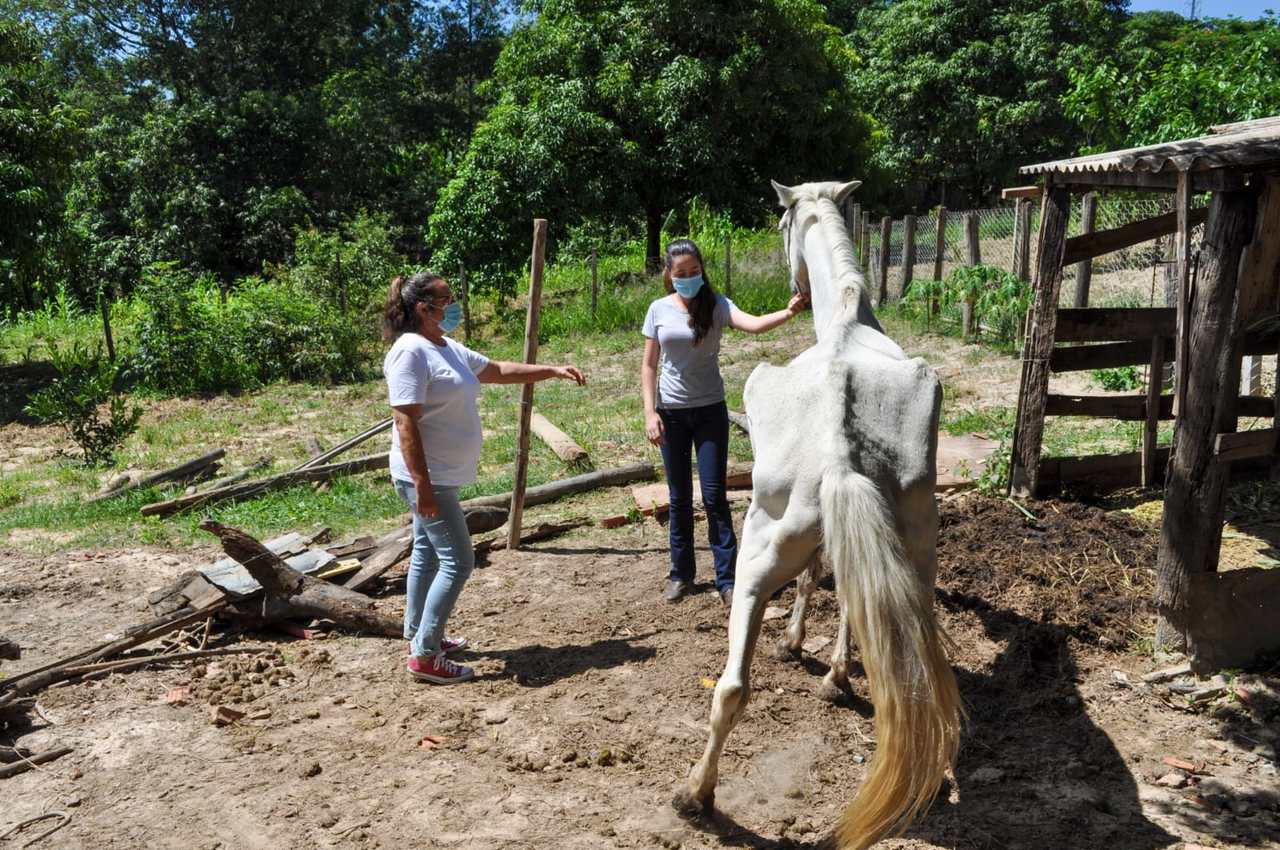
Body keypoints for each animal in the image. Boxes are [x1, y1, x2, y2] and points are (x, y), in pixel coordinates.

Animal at [673, 179, 963, 850]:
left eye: (781, 221)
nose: (797, 290)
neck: (849, 316)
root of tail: (839, 447)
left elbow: (813, 577)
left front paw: (800, 646)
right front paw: (835, 674)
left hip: (754, 564)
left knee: (732, 687)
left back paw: (696, 795)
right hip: (917, 551)